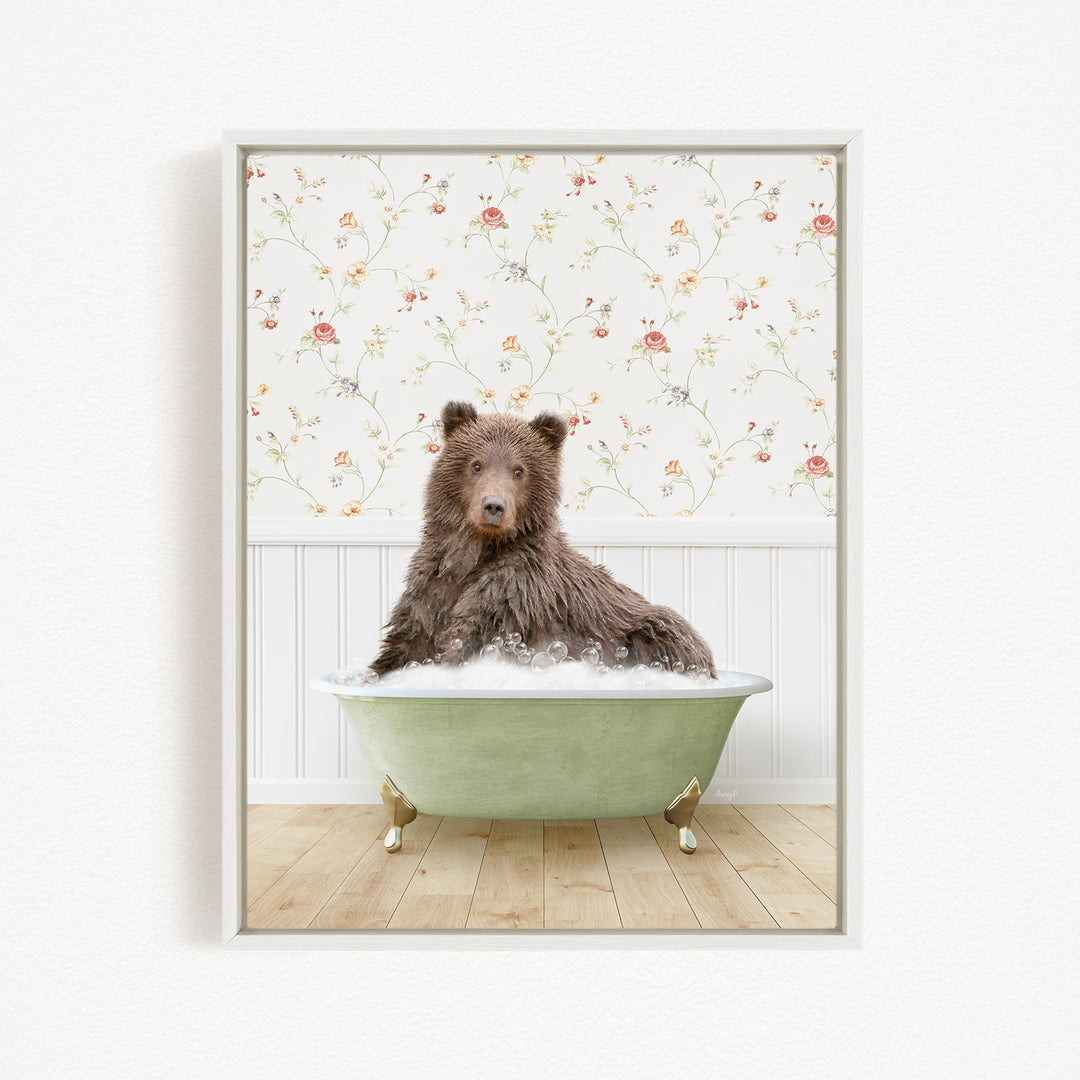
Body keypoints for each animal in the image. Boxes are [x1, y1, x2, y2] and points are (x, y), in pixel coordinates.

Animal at [369, 400, 717, 678]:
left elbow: (468, 639)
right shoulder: (431, 589)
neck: (475, 552)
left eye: (519, 470)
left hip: (650, 629)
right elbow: (404, 645)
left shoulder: (514, 594)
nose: (493, 506)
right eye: (476, 464)